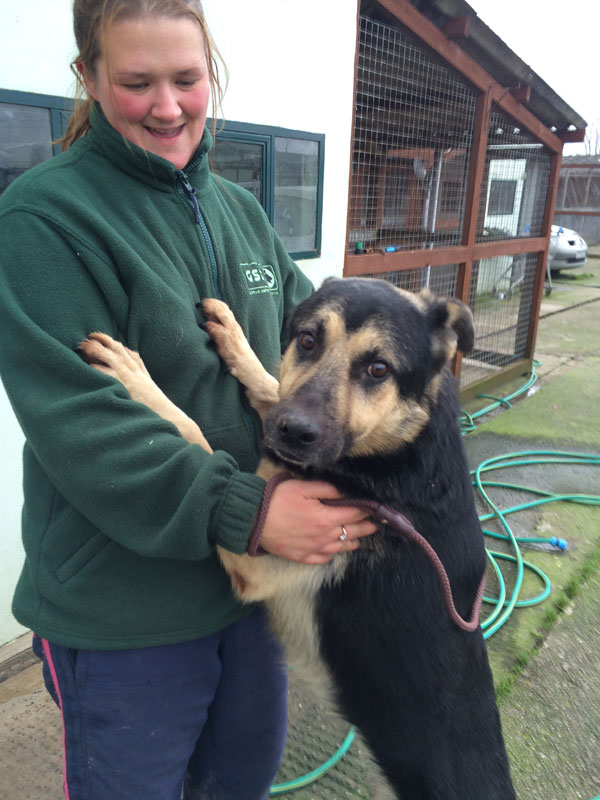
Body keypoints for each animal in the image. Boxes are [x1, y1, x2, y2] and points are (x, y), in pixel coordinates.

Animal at [81, 278, 516, 796]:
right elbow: (271, 385)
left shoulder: (255, 557)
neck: (404, 448)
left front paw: (138, 379)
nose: (294, 432)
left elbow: (194, 433)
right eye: (307, 340)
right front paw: (235, 339)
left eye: (378, 368)